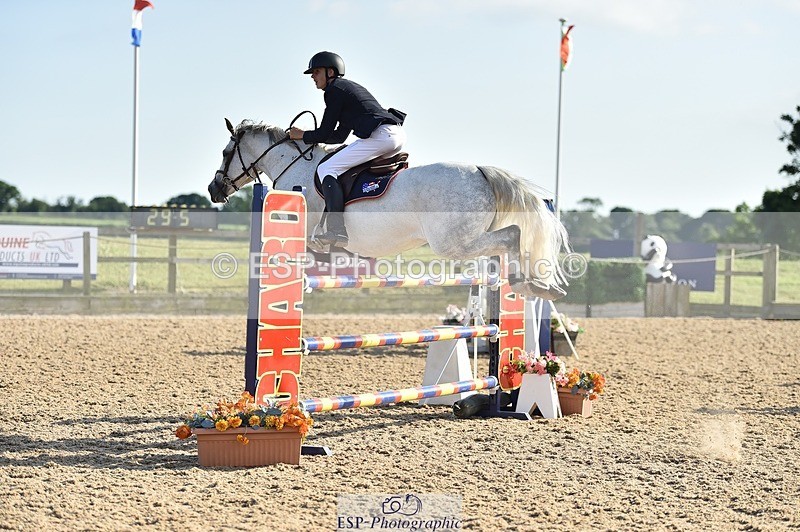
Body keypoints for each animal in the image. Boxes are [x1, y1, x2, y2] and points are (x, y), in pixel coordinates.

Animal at [208, 119, 571, 300]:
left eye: (226, 152)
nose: (214, 190)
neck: (296, 166)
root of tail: (481, 171)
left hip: (453, 243)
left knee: (512, 236)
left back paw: (528, 283)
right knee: (508, 240)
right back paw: (536, 284)